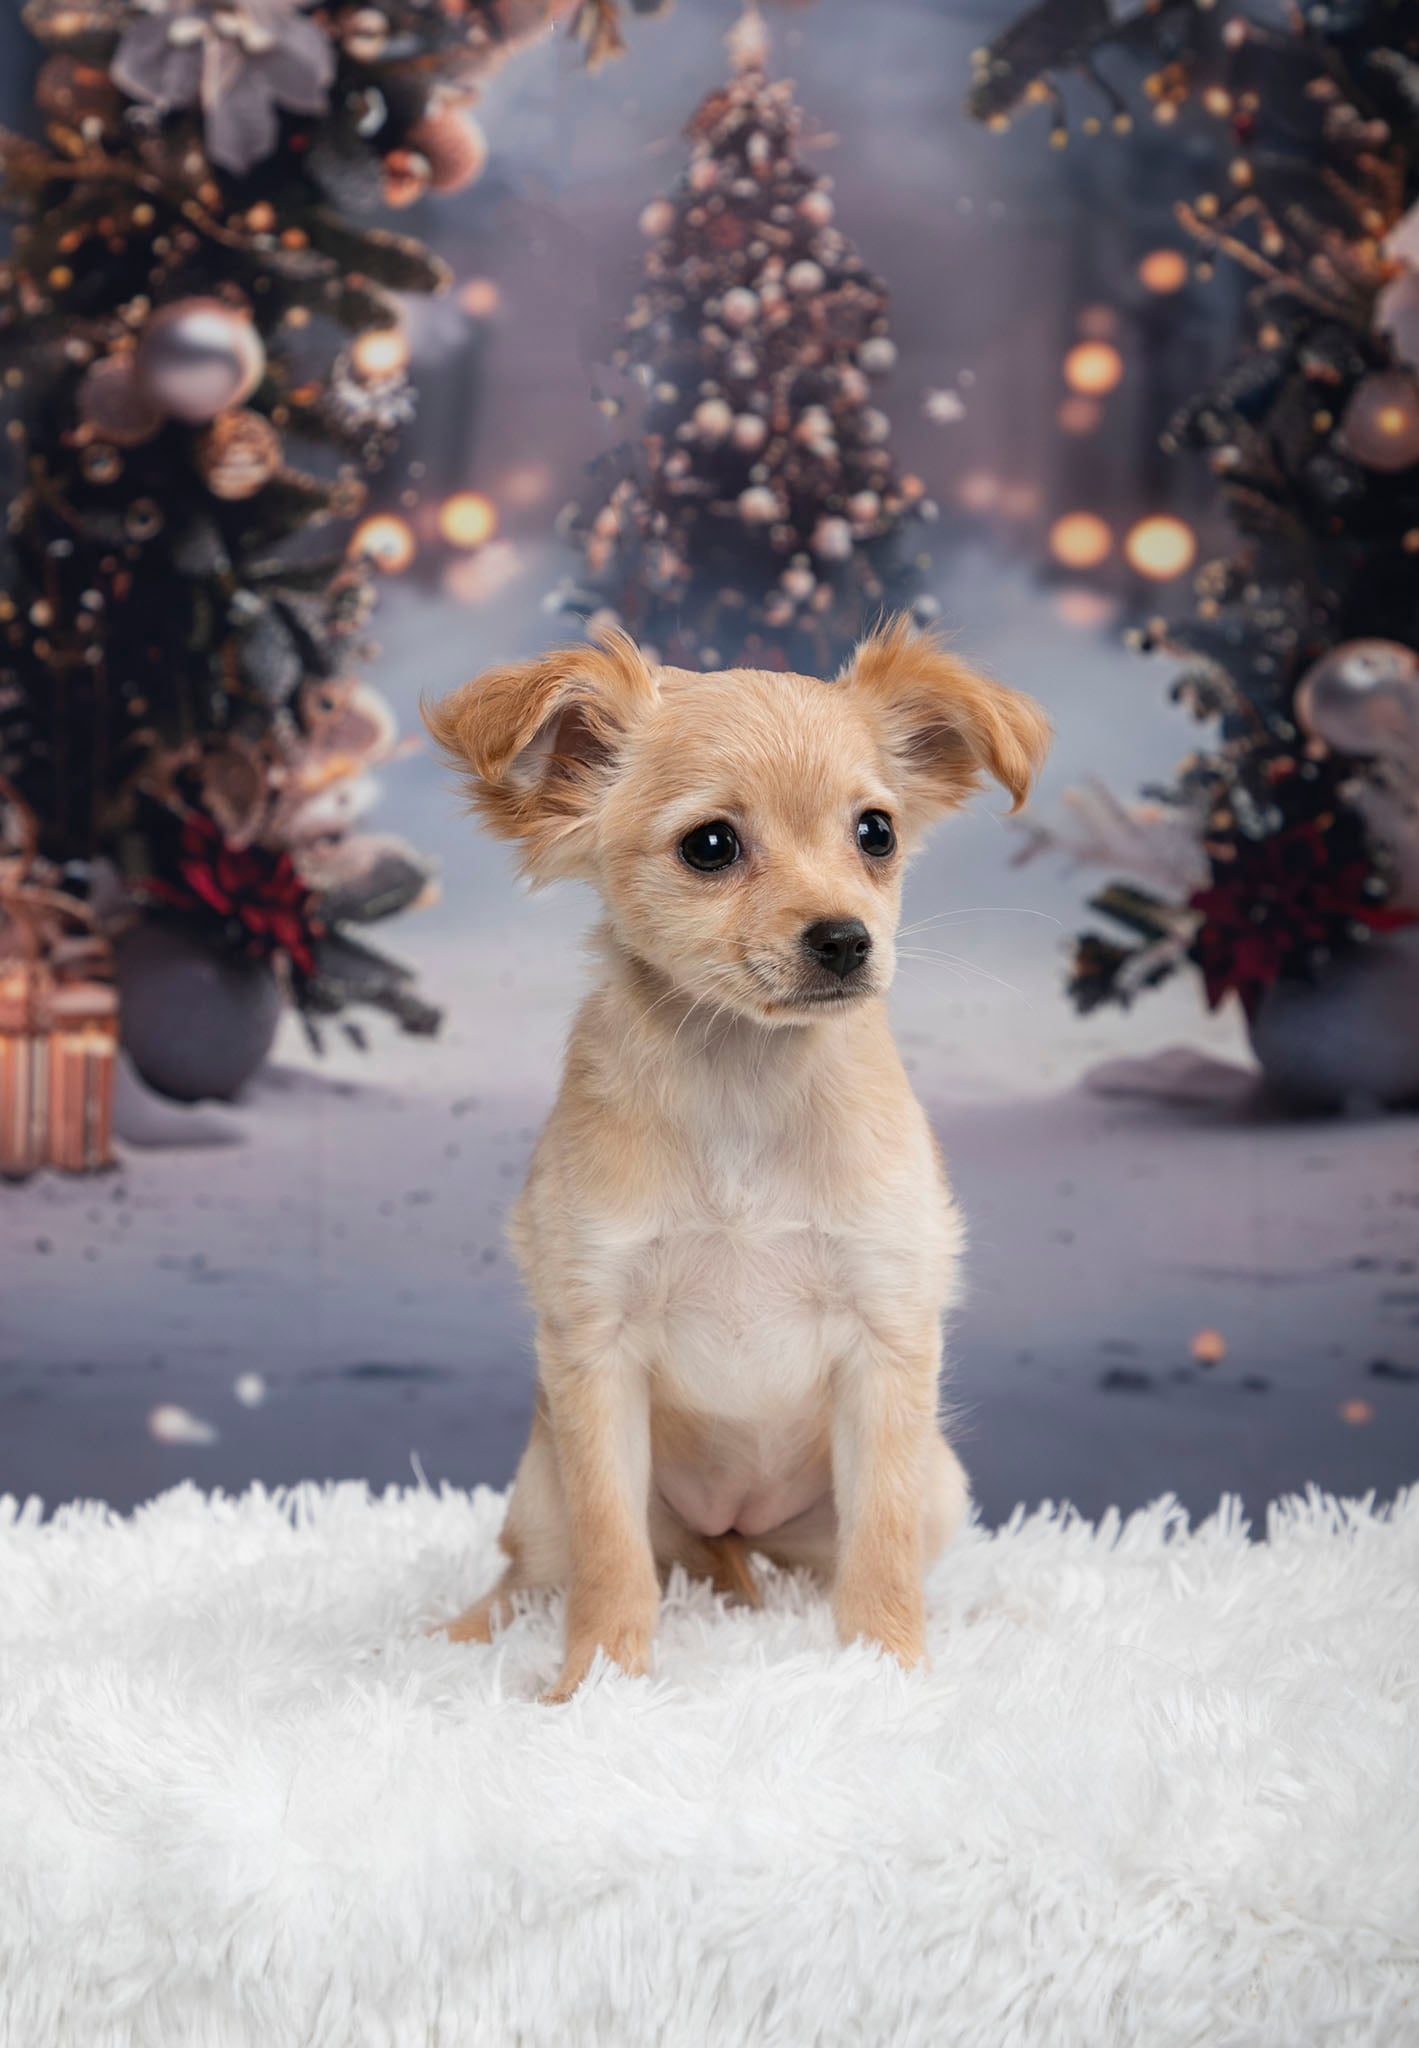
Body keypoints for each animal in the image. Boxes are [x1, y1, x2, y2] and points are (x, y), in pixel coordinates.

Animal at [425, 615, 1050, 1700]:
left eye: (876, 833)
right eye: (710, 846)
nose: (845, 939)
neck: (743, 1085)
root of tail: (730, 1529)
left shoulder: (887, 1341)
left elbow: (880, 1545)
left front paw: (887, 1667)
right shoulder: (594, 1350)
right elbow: (609, 1553)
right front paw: (596, 1680)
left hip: (928, 1483)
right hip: (542, 1488)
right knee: (537, 1572)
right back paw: (456, 1636)